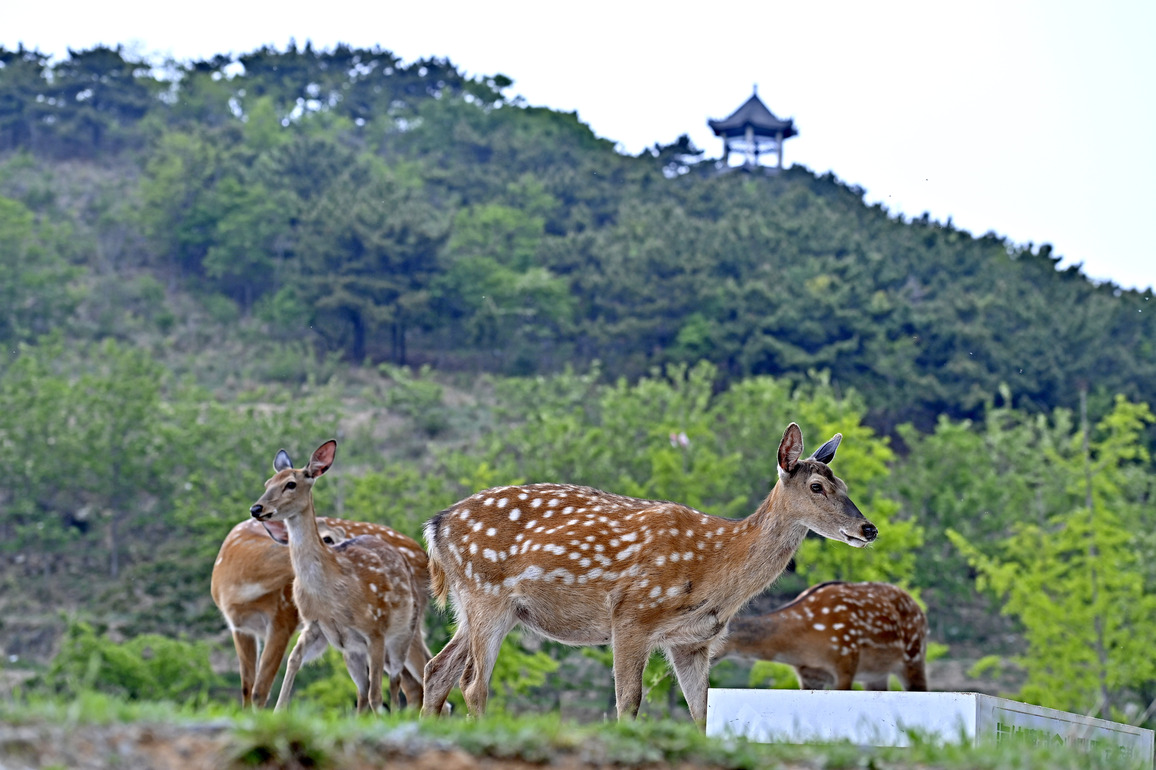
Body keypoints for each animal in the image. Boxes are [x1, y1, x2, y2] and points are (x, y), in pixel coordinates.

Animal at [210, 513, 434, 710]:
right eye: (327, 538)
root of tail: (424, 555)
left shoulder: (283, 617)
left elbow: (259, 690)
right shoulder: (240, 627)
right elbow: (247, 690)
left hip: (404, 623)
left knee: (424, 667)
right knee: (411, 683)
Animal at [247, 439, 422, 713]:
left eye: (290, 484)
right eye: (267, 483)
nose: (256, 508)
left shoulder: (375, 628)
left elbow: (376, 695)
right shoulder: (316, 626)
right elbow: (293, 660)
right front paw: (278, 710)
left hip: (403, 633)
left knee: (394, 683)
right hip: (353, 651)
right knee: (366, 690)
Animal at [419, 422, 877, 726]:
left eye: (845, 485)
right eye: (817, 486)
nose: (868, 528)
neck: (714, 571)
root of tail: (436, 526)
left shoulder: (693, 640)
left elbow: (701, 711)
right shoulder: (631, 615)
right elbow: (629, 700)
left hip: (474, 605)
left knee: (437, 670)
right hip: (487, 594)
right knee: (473, 683)